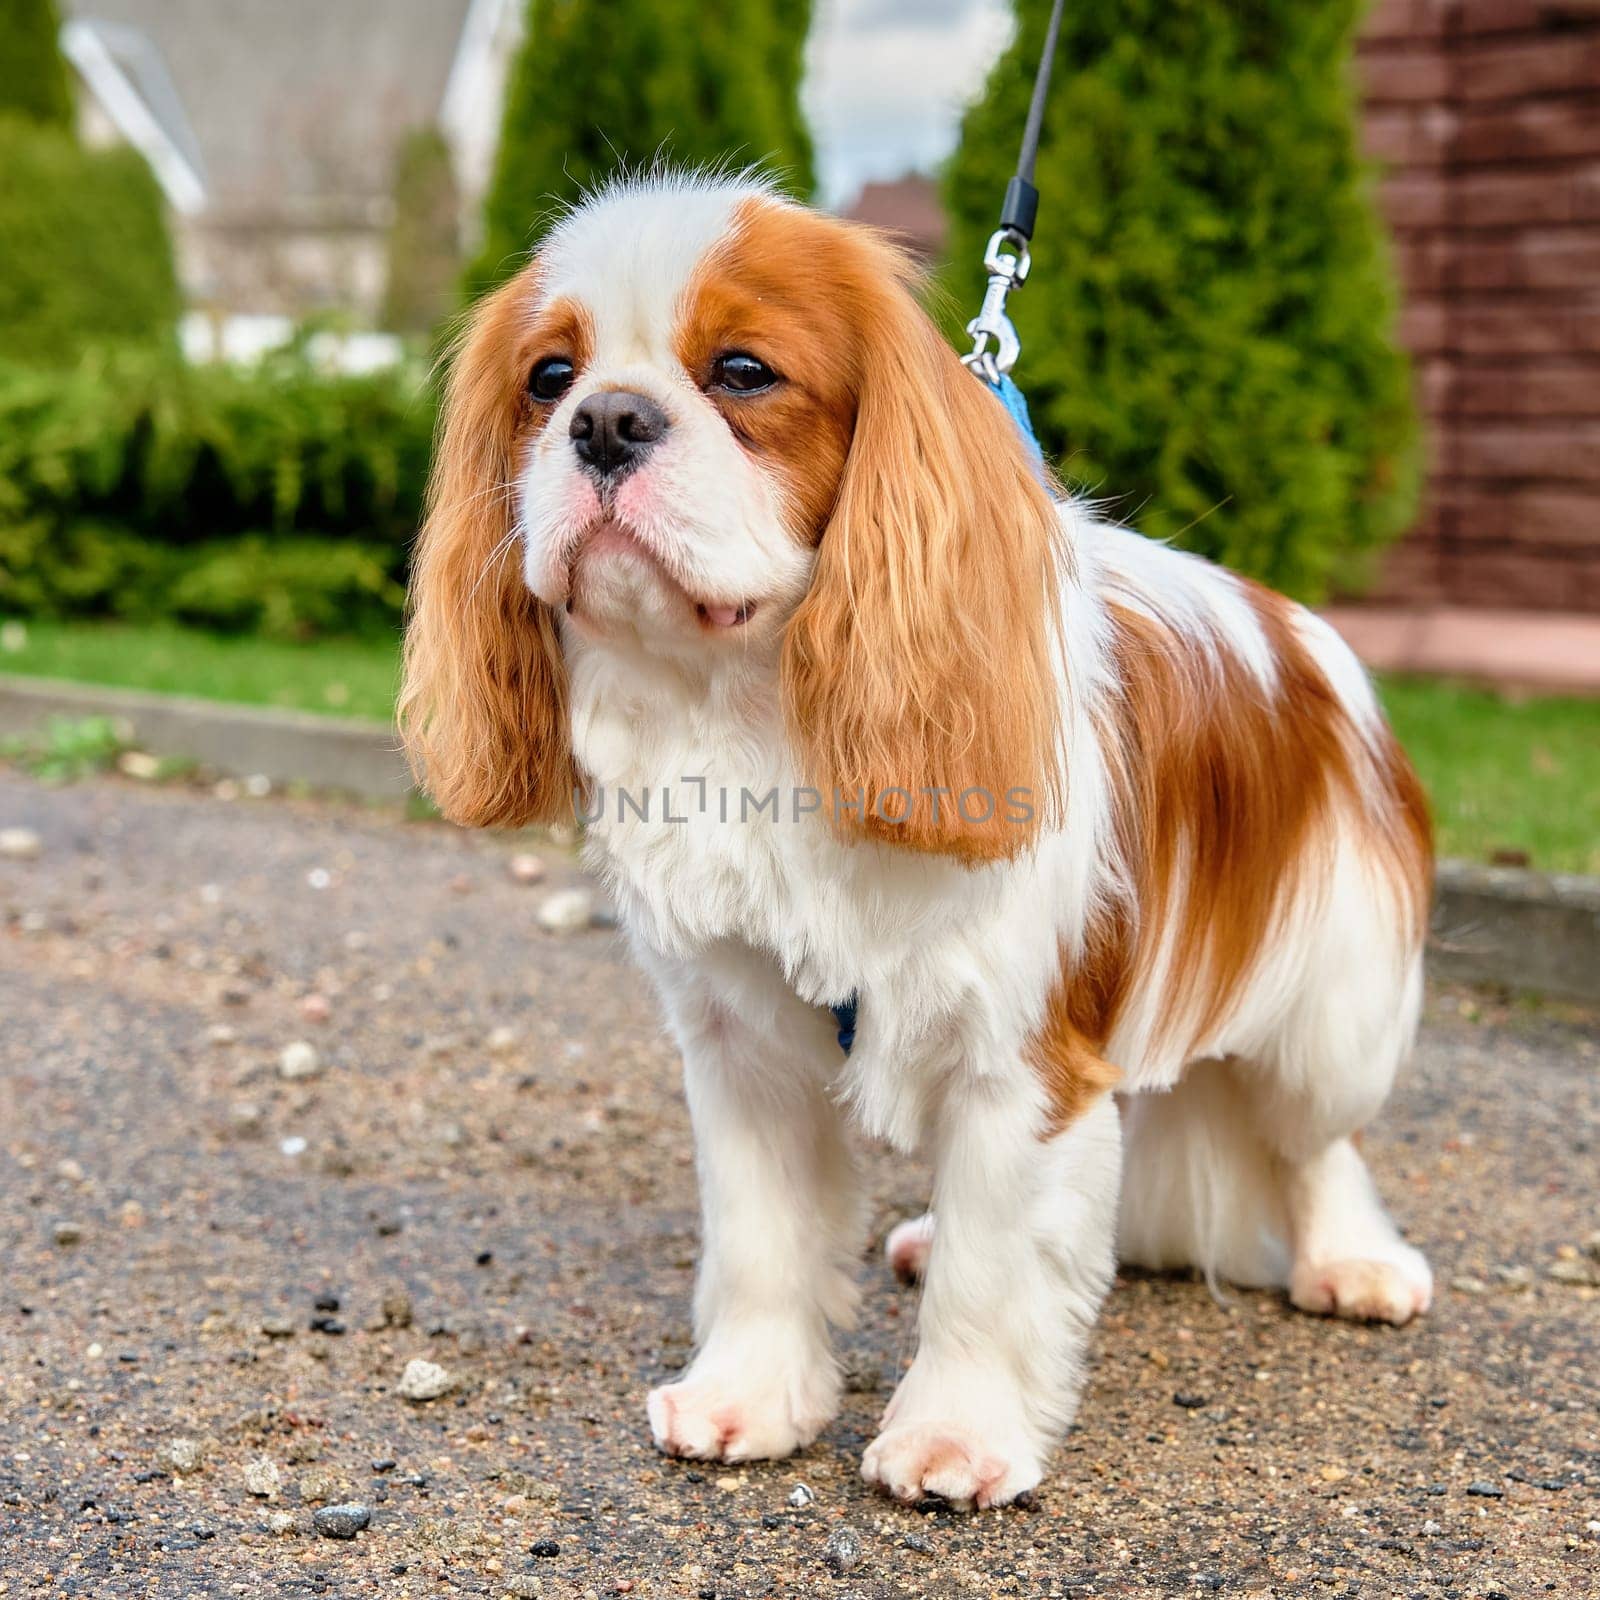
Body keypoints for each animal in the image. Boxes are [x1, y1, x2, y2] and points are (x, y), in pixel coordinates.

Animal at [403, 168, 1440, 1504]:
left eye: (742, 372)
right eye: (547, 378)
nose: (608, 421)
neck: (748, 712)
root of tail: (1308, 638)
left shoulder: (1024, 1056)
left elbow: (994, 1276)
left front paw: (955, 1435)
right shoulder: (742, 1050)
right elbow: (765, 1240)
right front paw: (750, 1398)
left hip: (1332, 1011)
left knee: (1316, 1143)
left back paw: (1354, 1261)